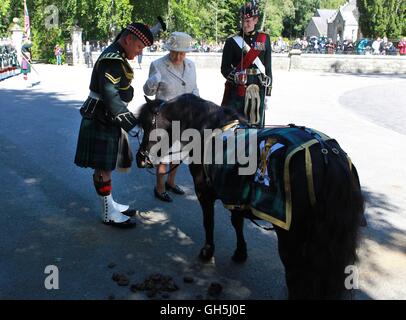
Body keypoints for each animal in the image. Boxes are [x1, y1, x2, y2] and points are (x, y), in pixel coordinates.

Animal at [136, 94, 364, 298]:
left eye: (147, 124)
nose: (140, 158)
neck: (207, 128)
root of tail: (327, 155)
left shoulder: (204, 191)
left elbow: (209, 222)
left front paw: (208, 251)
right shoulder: (236, 194)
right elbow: (237, 222)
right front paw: (240, 252)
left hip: (291, 237)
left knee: (295, 276)